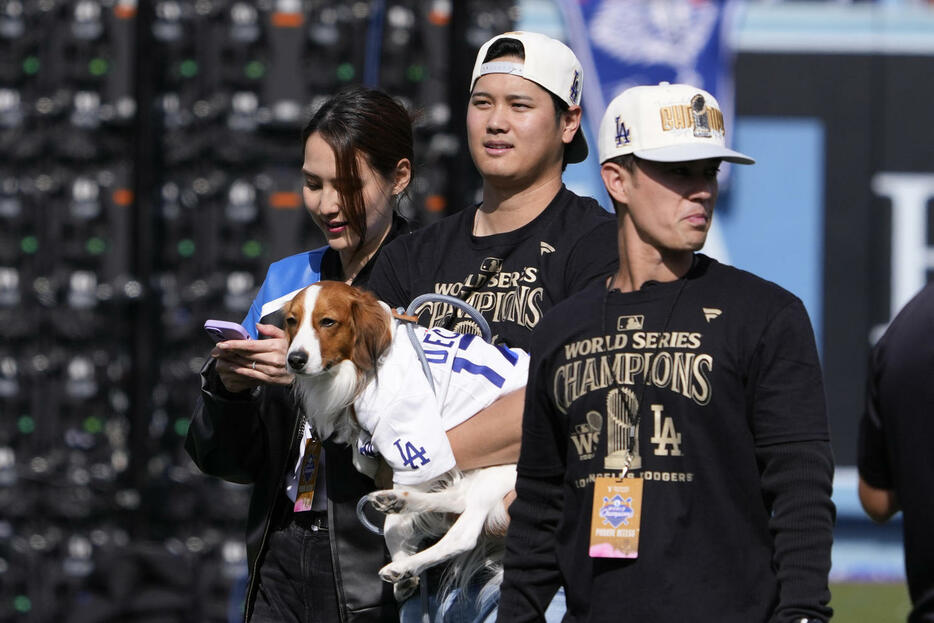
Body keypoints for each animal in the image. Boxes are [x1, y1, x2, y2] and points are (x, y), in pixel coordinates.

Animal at [280, 282, 528, 600]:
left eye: (327, 322)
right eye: (292, 320)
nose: (295, 360)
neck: (367, 366)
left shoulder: (413, 442)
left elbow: (396, 522)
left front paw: (402, 563)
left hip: (501, 470)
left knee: (465, 532)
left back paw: (404, 563)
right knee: (458, 499)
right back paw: (397, 503)